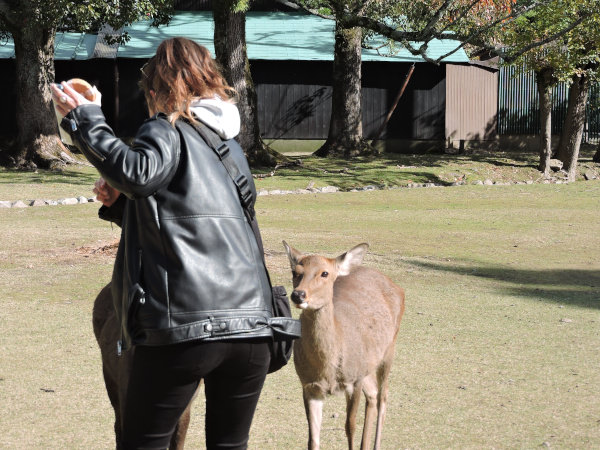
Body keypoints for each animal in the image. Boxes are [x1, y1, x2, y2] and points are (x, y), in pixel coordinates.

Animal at [282, 243, 406, 450]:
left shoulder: (354, 380)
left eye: (325, 273)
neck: (328, 370)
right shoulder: (309, 385)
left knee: (383, 395)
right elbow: (313, 437)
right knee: (372, 393)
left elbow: (350, 426)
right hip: (367, 364)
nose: (298, 294)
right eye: (295, 271)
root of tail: (397, 286)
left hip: (390, 348)